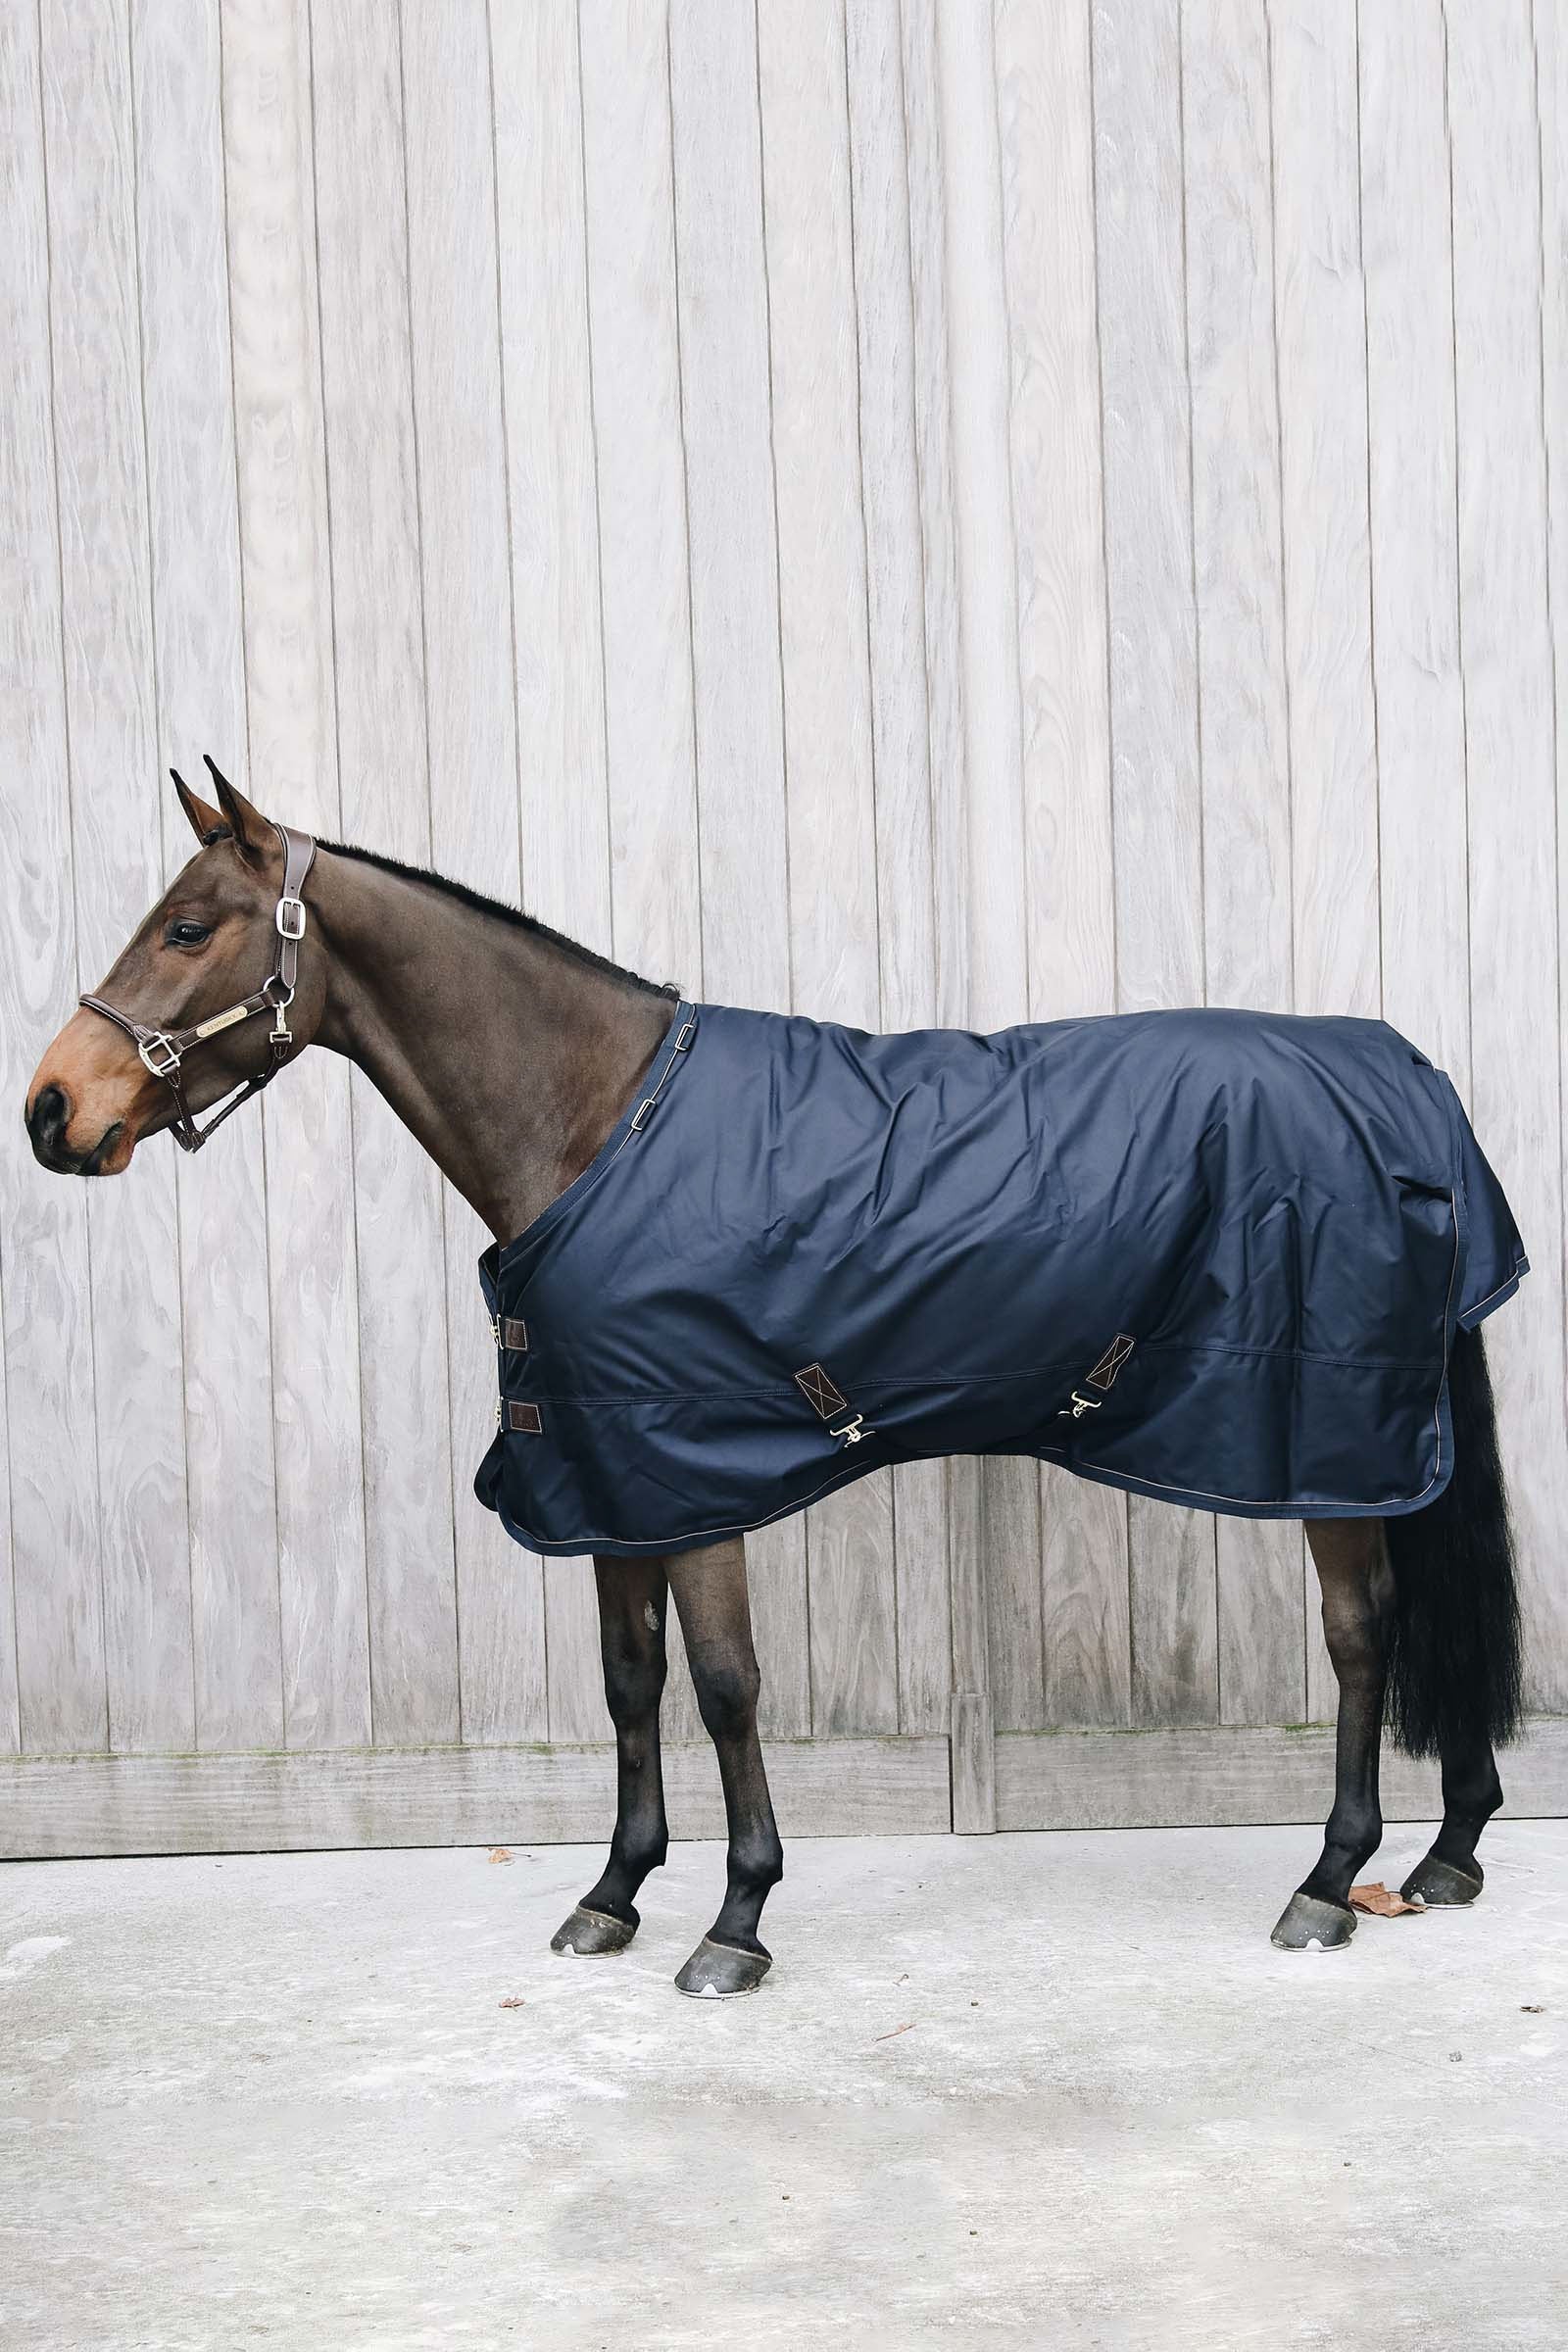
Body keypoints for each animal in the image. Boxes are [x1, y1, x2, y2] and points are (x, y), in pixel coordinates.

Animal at [26, 762, 1526, 1996]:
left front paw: (735, 1921)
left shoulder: (697, 1478)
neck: (597, 1123)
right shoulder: (606, 1477)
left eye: (187, 928)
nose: (51, 1109)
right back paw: (1443, 1856)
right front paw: (613, 1894)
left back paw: (1328, 1884)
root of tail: (1403, 1077)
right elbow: (630, 1685)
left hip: (1322, 1441)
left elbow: (726, 1686)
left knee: (1362, 1636)